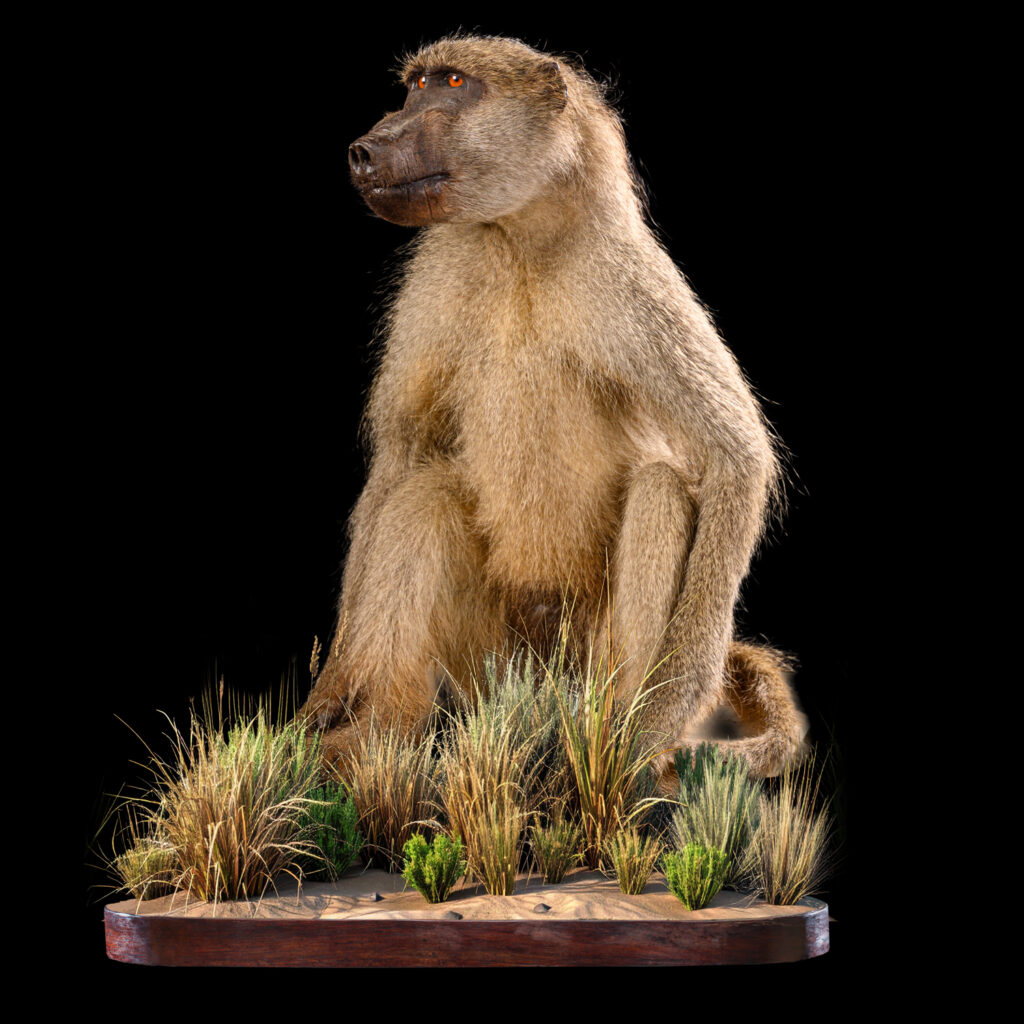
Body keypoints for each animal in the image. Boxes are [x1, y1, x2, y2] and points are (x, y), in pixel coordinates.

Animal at [301, 34, 806, 778]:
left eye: (453, 84)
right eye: (414, 87)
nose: (366, 148)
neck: (520, 242)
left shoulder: (628, 279)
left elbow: (734, 457)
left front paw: (662, 718)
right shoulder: (436, 279)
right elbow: (406, 454)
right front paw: (332, 688)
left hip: (582, 655)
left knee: (660, 490)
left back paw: (617, 748)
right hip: (492, 664)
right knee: (427, 493)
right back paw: (380, 732)